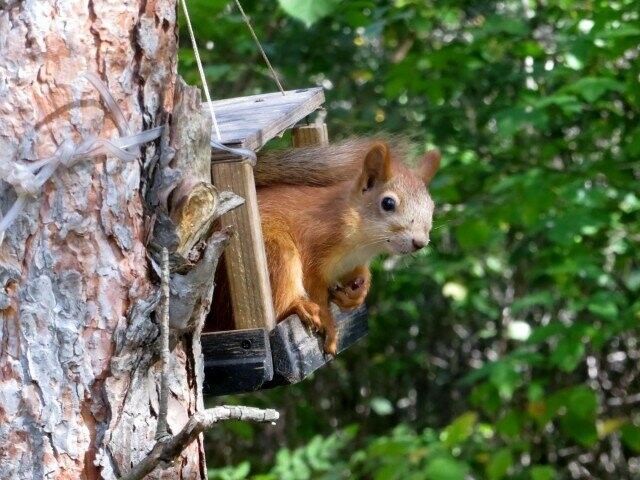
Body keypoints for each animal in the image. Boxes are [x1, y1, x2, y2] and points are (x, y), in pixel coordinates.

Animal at [254, 137, 440, 354]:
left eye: (432, 206)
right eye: (388, 203)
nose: (420, 242)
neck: (363, 244)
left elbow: (357, 275)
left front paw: (360, 290)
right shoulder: (313, 246)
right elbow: (315, 291)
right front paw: (328, 323)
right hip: (277, 249)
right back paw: (297, 306)